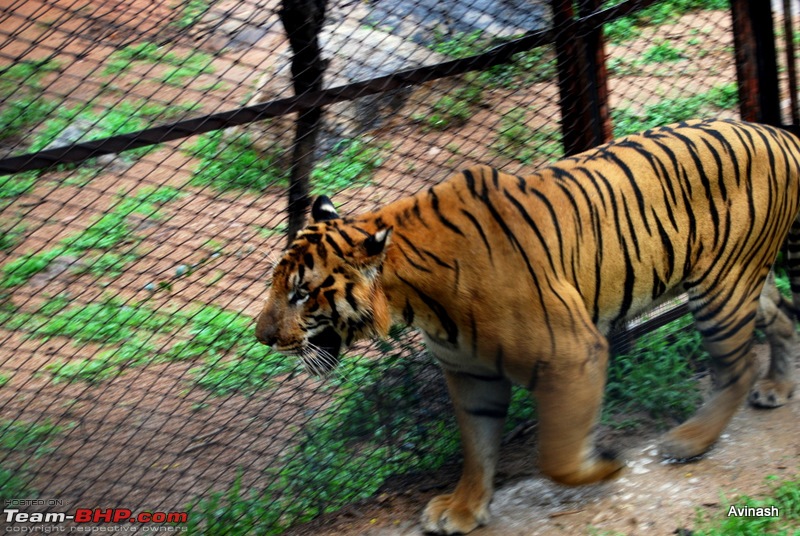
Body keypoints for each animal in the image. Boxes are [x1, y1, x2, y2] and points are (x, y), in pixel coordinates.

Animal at [256, 119, 800, 532]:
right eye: (277, 284)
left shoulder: (573, 354)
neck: (414, 298)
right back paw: (776, 387)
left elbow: (555, 458)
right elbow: (477, 447)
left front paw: (605, 462)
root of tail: (775, 131)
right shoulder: (470, 373)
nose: (262, 336)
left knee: (737, 368)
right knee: (783, 316)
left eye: (301, 293)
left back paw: (689, 440)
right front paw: (463, 509)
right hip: (741, 281)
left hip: (721, 290)